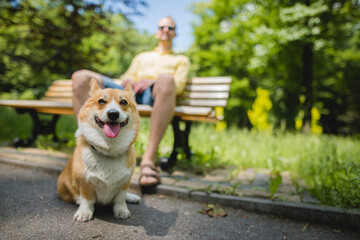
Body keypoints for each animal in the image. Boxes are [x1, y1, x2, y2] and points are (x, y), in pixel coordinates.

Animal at [57, 79, 140, 222]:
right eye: (101, 101)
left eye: (124, 102)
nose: (113, 113)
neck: (109, 150)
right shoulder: (85, 182)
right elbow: (87, 199)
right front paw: (84, 212)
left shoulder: (125, 181)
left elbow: (120, 198)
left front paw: (121, 211)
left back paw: (132, 197)